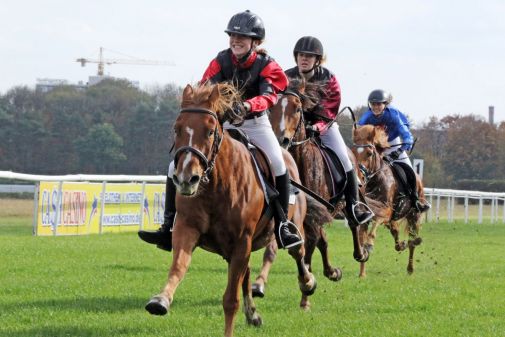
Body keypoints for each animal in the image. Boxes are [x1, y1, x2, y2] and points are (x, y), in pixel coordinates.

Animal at [143, 82, 316, 336]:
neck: (216, 185)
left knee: (298, 252)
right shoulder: (187, 227)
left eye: (210, 131)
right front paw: (160, 300)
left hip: (289, 228)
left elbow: (230, 300)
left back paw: (308, 283)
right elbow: (179, 267)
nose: (186, 179)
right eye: (177, 129)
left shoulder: (242, 241)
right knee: (246, 274)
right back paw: (253, 314)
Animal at [350, 123, 426, 276]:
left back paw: (410, 268)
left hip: (414, 215)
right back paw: (401, 245)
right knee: (396, 233)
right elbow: (361, 237)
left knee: (412, 240)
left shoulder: (386, 211)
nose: (359, 176)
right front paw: (362, 273)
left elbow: (375, 226)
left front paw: (369, 245)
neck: (374, 181)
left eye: (370, 153)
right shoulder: (365, 215)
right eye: (353, 152)